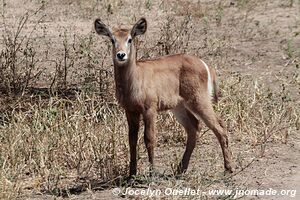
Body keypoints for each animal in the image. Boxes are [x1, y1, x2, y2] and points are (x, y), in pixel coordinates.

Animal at [95, 17, 233, 177]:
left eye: (130, 39)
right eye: (112, 39)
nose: (121, 55)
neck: (134, 78)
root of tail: (205, 65)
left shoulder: (149, 109)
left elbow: (149, 138)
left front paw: (151, 172)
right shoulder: (130, 111)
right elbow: (132, 140)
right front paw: (131, 174)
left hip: (199, 101)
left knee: (219, 126)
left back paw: (228, 168)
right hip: (179, 108)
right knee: (194, 128)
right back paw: (181, 169)